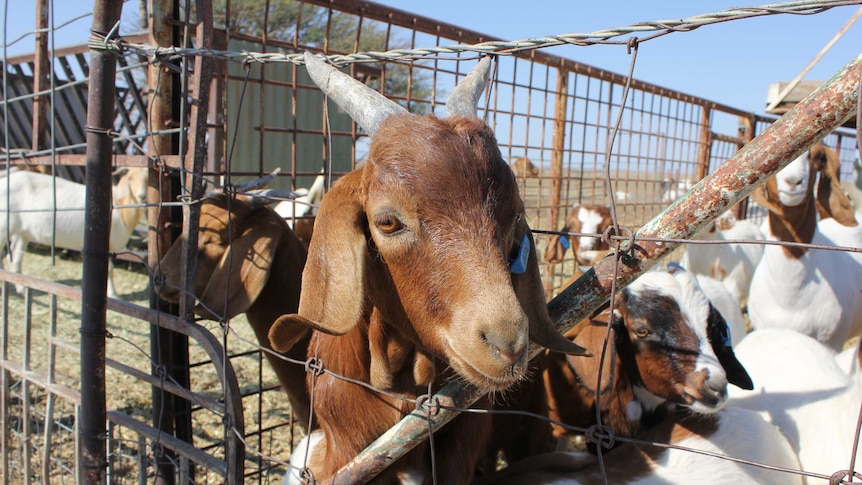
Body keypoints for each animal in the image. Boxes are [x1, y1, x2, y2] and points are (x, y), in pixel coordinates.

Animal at [0, 165, 148, 294]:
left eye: (148, 179)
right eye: (130, 178)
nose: (142, 196)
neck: (120, 207)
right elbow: (109, 269)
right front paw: (113, 294)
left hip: (22, 232)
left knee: (15, 256)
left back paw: (21, 289)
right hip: (4, 225)